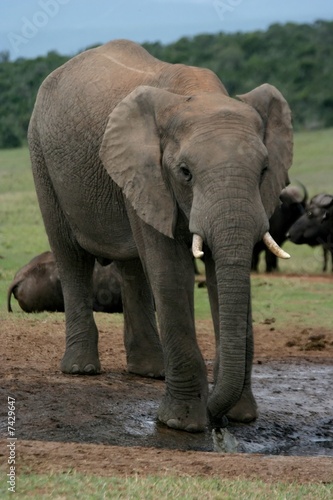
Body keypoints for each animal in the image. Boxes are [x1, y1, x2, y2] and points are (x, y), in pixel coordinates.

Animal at [29, 39, 294, 432]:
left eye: (264, 170)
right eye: (185, 172)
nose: (217, 417)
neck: (198, 93)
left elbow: (222, 273)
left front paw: (242, 417)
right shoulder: (147, 172)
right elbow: (171, 272)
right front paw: (182, 423)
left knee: (132, 266)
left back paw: (149, 371)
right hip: (41, 158)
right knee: (70, 256)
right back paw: (81, 369)